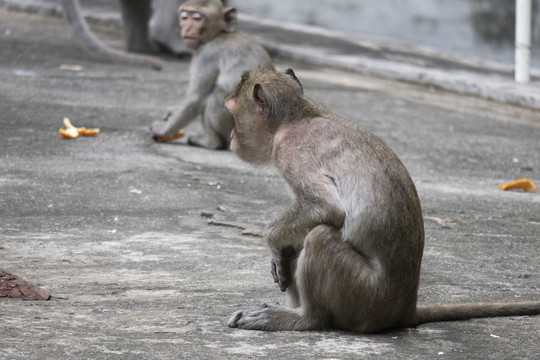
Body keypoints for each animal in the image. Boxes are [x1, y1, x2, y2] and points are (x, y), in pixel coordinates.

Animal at [150, 0, 272, 149]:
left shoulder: (206, 55)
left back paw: (211, 142)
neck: (218, 34)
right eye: (184, 17)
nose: (187, 28)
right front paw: (172, 110)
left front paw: (163, 129)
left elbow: (196, 99)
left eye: (197, 18)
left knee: (215, 96)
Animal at [225, 67, 540, 332]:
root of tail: (403, 309)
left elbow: (327, 209)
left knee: (318, 237)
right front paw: (277, 256)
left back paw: (305, 318)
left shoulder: (290, 152)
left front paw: (272, 243)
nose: (230, 137)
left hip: (362, 295)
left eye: (232, 114)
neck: (298, 115)